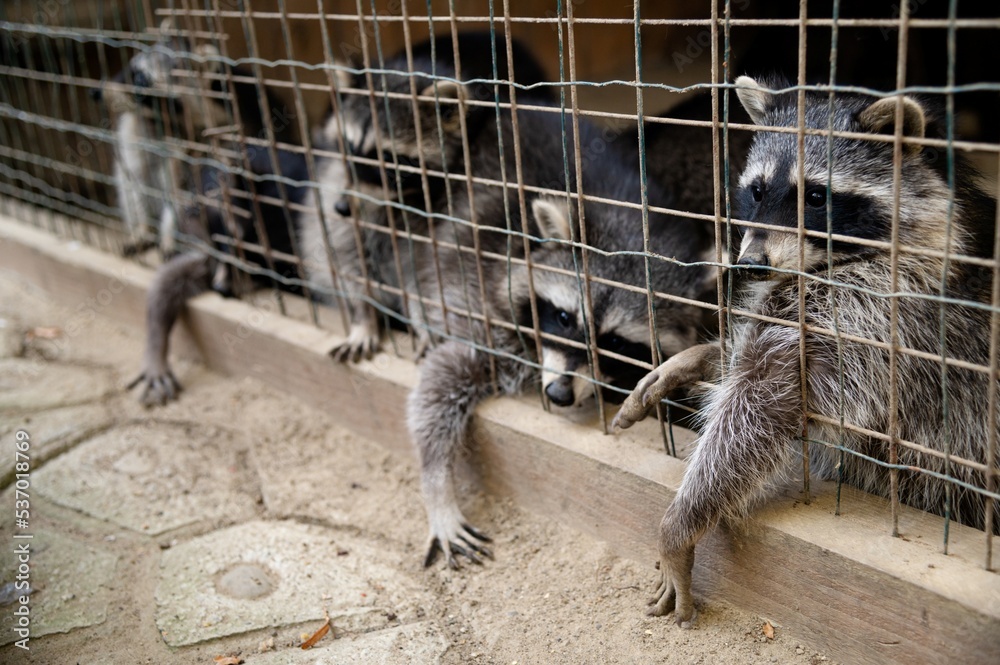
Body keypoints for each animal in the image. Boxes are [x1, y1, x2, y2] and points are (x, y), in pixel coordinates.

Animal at [298, 32, 550, 360]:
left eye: (389, 162)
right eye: (349, 148)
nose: (342, 207)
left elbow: (429, 272)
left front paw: (426, 324)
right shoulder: (342, 186)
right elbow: (348, 253)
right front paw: (363, 317)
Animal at [405, 105, 713, 567]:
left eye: (615, 342)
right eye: (565, 318)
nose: (560, 394)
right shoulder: (482, 296)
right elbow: (446, 374)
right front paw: (436, 484)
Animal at [613, 75, 999, 626]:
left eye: (816, 196)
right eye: (756, 190)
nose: (751, 263)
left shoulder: (874, 319)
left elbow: (761, 411)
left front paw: (681, 523)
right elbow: (742, 358)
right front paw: (698, 357)